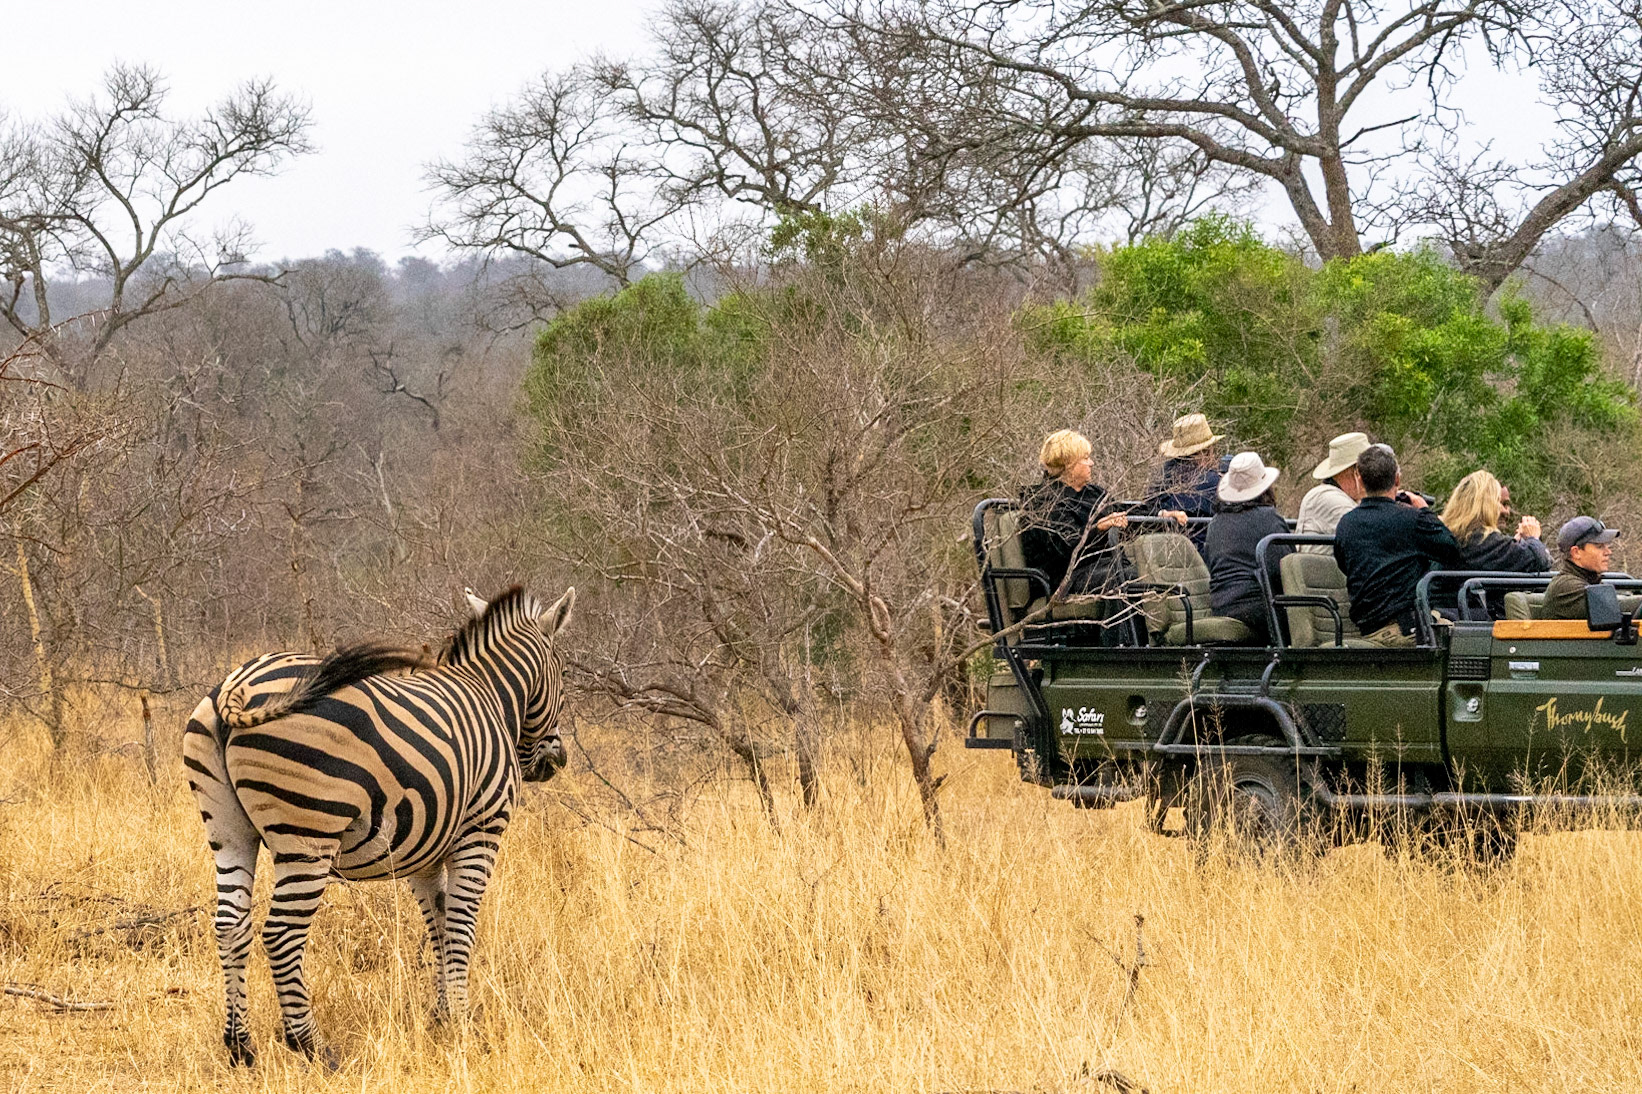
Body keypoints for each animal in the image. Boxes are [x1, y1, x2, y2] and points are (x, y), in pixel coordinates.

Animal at [182, 584, 574, 1067]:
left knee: (231, 926)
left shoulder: (425, 853)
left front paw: (441, 1016)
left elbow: (439, 926)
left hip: (227, 830)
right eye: (564, 672)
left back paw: (240, 1046)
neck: (491, 697)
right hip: (310, 834)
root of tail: (238, 686)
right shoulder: (480, 832)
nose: (555, 760)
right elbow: (461, 925)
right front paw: (462, 1020)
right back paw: (311, 1046)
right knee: (281, 935)